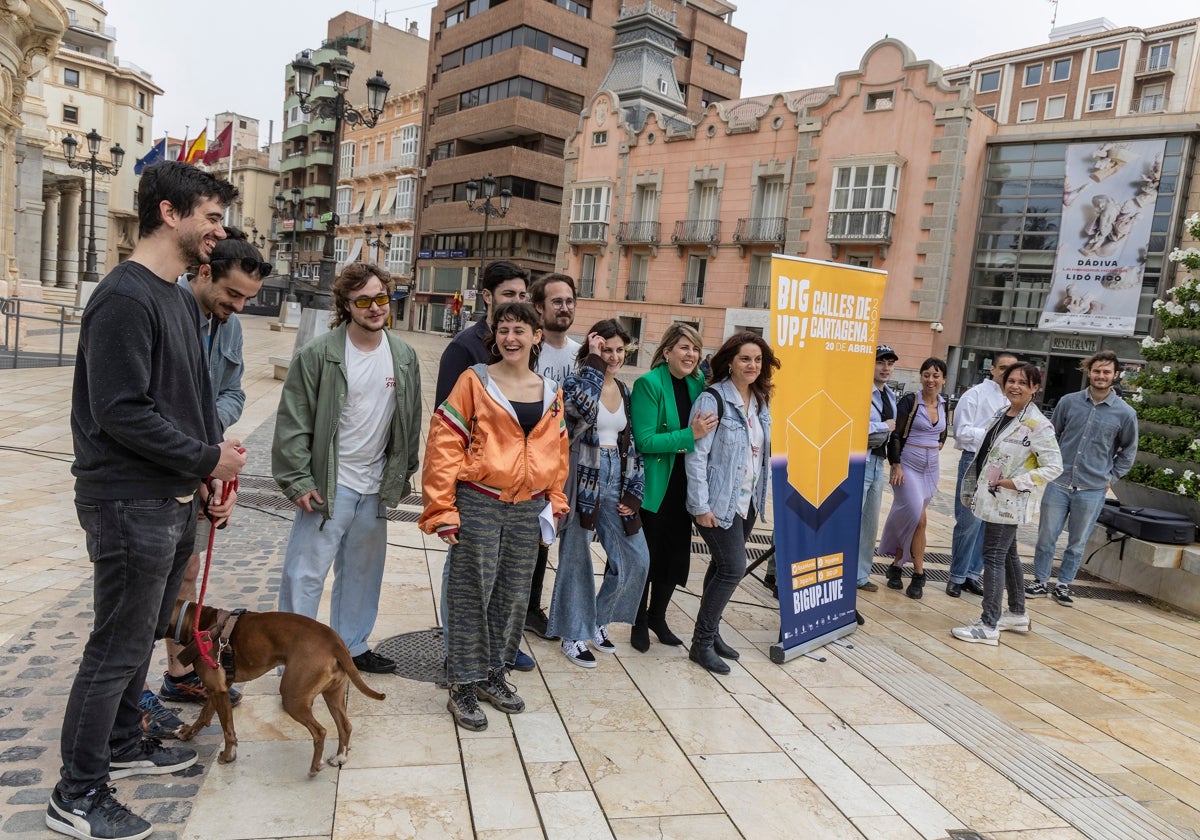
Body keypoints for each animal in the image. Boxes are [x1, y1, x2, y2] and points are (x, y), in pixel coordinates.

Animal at [163, 600, 384, 777]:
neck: (197, 622)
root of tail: (335, 642)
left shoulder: (218, 690)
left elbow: (227, 729)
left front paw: (228, 756)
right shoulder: (218, 688)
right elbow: (204, 714)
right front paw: (187, 733)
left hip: (293, 697)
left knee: (320, 731)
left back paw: (314, 767)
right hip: (333, 694)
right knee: (345, 726)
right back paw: (339, 758)